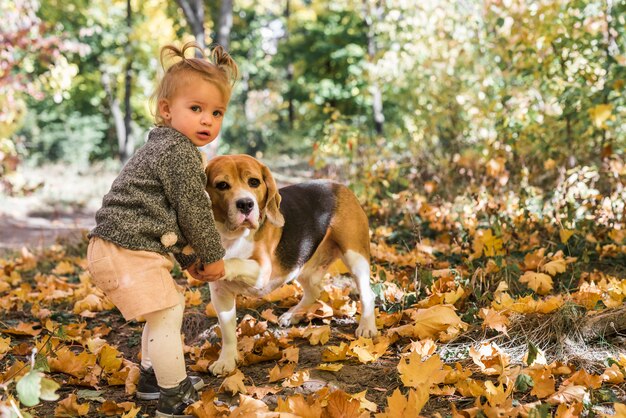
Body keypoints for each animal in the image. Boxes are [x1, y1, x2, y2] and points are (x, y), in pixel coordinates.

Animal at [206, 154, 376, 376]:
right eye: (222, 185)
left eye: (254, 182)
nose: (245, 204)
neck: (232, 237)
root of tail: (337, 185)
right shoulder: (220, 293)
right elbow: (227, 331)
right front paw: (226, 360)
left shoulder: (262, 272)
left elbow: (233, 261)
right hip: (301, 262)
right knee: (314, 291)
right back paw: (293, 315)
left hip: (354, 255)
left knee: (367, 293)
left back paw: (367, 326)